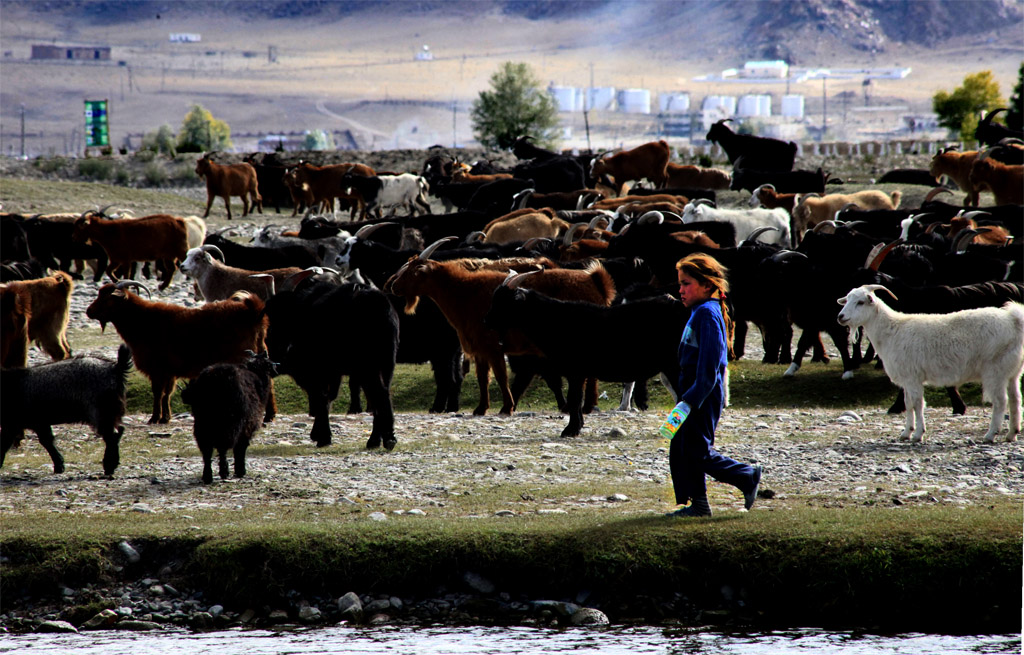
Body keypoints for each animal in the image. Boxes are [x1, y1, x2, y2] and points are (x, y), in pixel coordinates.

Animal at [0, 343, 132, 474]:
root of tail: (116, 368)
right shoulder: (37, 422)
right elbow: (46, 440)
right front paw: (59, 465)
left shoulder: (20, 422)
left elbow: (7, 442)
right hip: (111, 410)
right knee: (118, 431)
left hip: (101, 411)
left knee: (111, 435)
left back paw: (109, 466)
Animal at [84, 282, 268, 425]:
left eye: (107, 298)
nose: (88, 311)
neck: (143, 320)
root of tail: (253, 312)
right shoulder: (169, 371)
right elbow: (167, 393)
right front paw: (165, 418)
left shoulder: (157, 369)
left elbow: (158, 393)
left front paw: (154, 418)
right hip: (260, 353)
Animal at [179, 350, 276, 483]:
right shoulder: (248, 426)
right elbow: (241, 447)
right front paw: (240, 471)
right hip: (229, 422)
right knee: (222, 447)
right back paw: (223, 471)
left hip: (202, 423)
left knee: (206, 449)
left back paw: (207, 475)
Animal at [835, 284, 1024, 442]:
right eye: (847, 299)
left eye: (860, 302)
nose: (841, 317)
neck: (892, 330)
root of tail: (1014, 321)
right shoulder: (907, 379)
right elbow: (908, 404)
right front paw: (906, 432)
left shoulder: (913, 377)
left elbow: (918, 404)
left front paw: (918, 434)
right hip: (1012, 372)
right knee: (1015, 399)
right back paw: (1011, 434)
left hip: (995, 369)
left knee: (1000, 401)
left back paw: (991, 434)